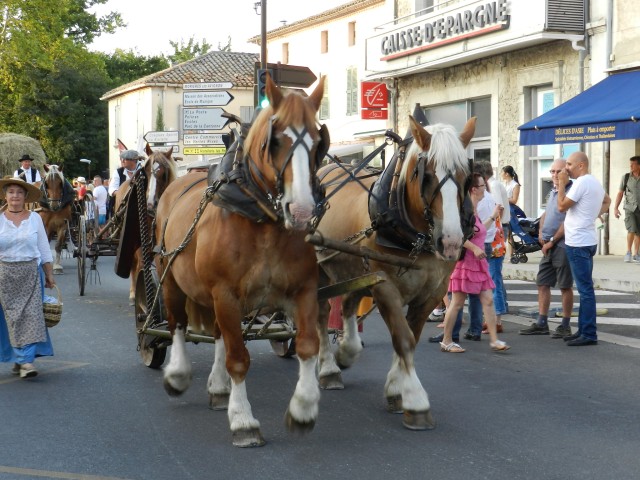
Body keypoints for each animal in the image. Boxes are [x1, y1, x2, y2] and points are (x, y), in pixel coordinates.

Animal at [115, 143, 178, 304]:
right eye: (147, 171)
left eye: (164, 173)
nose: (150, 204)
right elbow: (142, 267)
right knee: (134, 265)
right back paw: (133, 293)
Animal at [154, 74, 324, 446]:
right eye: (275, 140)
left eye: (318, 141)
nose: (302, 212)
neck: (259, 219)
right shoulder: (226, 294)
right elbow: (238, 359)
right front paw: (244, 420)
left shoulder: (304, 290)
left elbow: (307, 346)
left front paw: (303, 409)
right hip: (171, 278)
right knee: (177, 324)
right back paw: (177, 374)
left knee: (218, 334)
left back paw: (219, 389)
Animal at [316, 117, 476, 432]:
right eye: (426, 175)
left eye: (466, 176)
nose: (451, 242)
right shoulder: (386, 286)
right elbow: (403, 339)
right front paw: (415, 400)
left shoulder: (433, 293)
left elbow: (410, 338)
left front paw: (396, 390)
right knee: (321, 311)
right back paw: (329, 368)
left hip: (355, 269)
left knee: (348, 304)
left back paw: (347, 351)